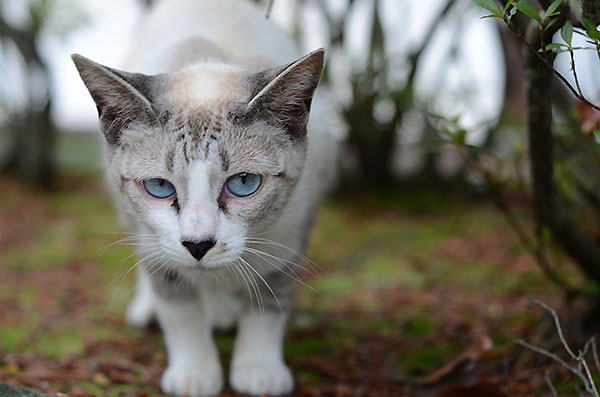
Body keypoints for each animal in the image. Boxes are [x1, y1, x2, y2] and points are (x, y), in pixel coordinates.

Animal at [71, 0, 338, 396]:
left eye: (244, 182)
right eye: (159, 187)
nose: (198, 244)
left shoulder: (290, 237)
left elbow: (268, 308)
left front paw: (258, 372)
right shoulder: (160, 249)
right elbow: (180, 314)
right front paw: (194, 374)